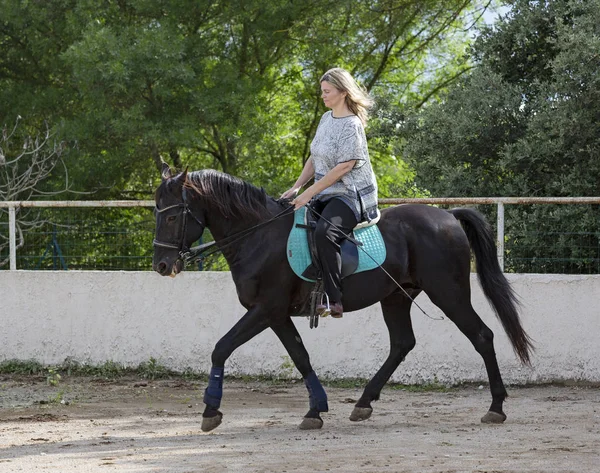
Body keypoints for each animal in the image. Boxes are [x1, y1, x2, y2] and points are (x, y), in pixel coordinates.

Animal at [152, 166, 532, 432]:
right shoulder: (277, 315)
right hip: (396, 297)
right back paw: (363, 403)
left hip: (448, 293)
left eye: (171, 215)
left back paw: (496, 407)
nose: (162, 265)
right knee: (402, 344)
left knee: (482, 336)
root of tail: (448, 216)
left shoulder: (265, 309)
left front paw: (210, 410)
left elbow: (222, 347)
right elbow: (301, 357)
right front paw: (315, 410)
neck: (260, 236)